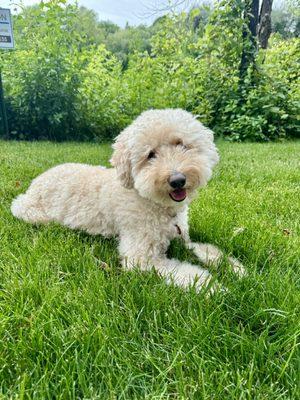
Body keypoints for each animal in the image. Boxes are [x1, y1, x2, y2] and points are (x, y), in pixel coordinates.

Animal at [11, 108, 244, 292]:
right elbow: (186, 272)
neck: (155, 203)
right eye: (150, 155)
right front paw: (214, 287)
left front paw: (234, 268)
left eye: (182, 144)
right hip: (29, 211)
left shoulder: (183, 238)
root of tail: (37, 180)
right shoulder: (141, 257)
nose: (178, 180)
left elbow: (206, 250)